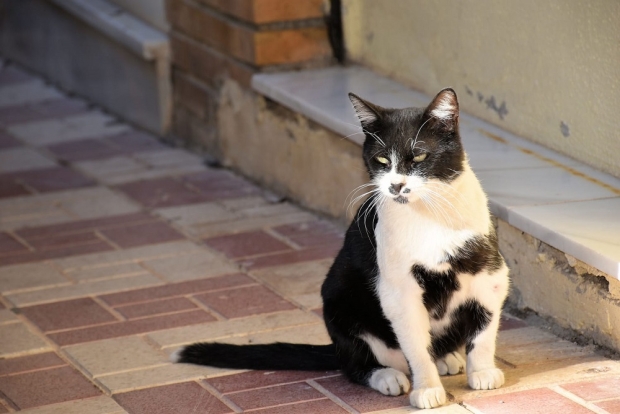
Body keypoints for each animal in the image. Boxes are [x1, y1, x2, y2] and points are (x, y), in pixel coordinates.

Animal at [172, 89, 512, 410]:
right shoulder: (398, 289)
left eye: (418, 157)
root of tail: (335, 347)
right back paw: (387, 375)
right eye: (381, 161)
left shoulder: (491, 273)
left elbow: (484, 331)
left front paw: (482, 372)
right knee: (355, 364)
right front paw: (427, 389)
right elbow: (415, 345)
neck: (428, 215)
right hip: (338, 300)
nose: (396, 186)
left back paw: (447, 358)